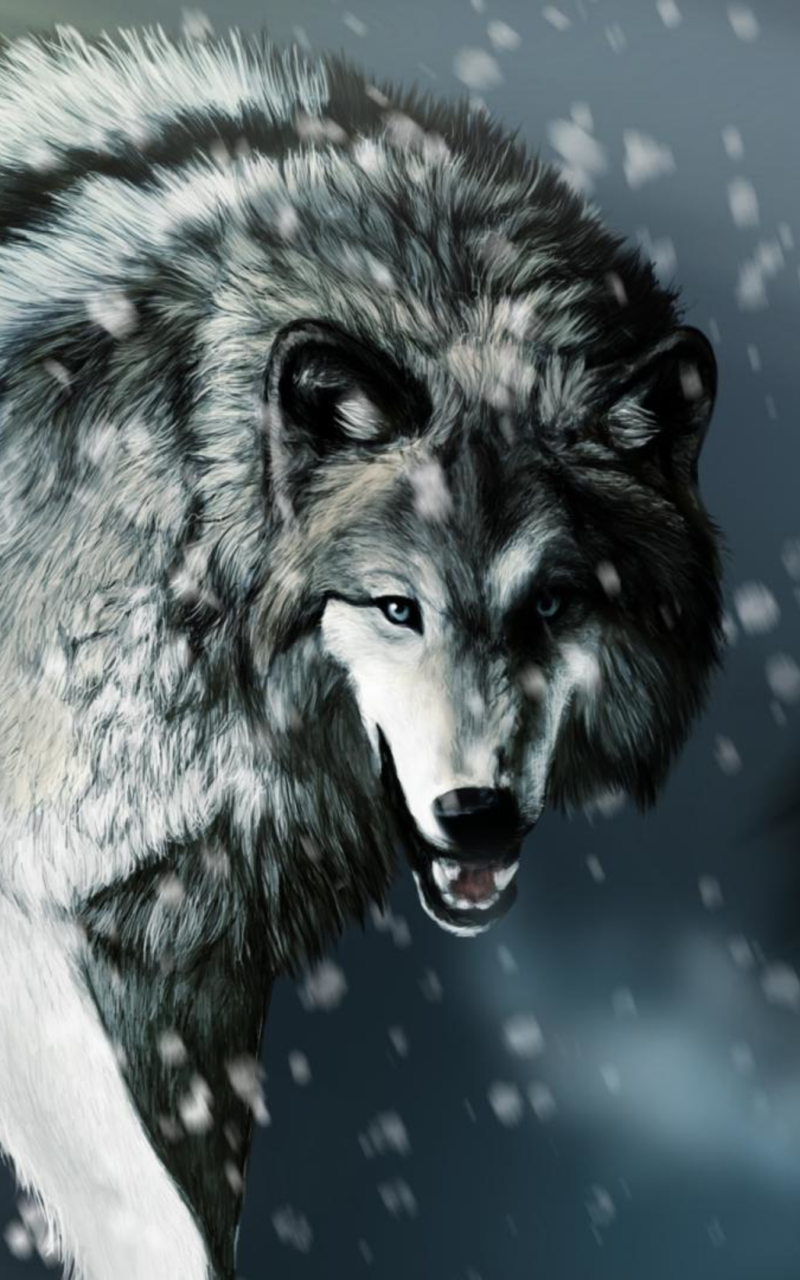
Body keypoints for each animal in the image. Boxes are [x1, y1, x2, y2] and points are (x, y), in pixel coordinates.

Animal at [0, 23, 723, 1280]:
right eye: (395, 606)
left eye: (552, 604)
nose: (477, 815)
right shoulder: (30, 914)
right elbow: (151, 1220)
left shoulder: (190, 973)